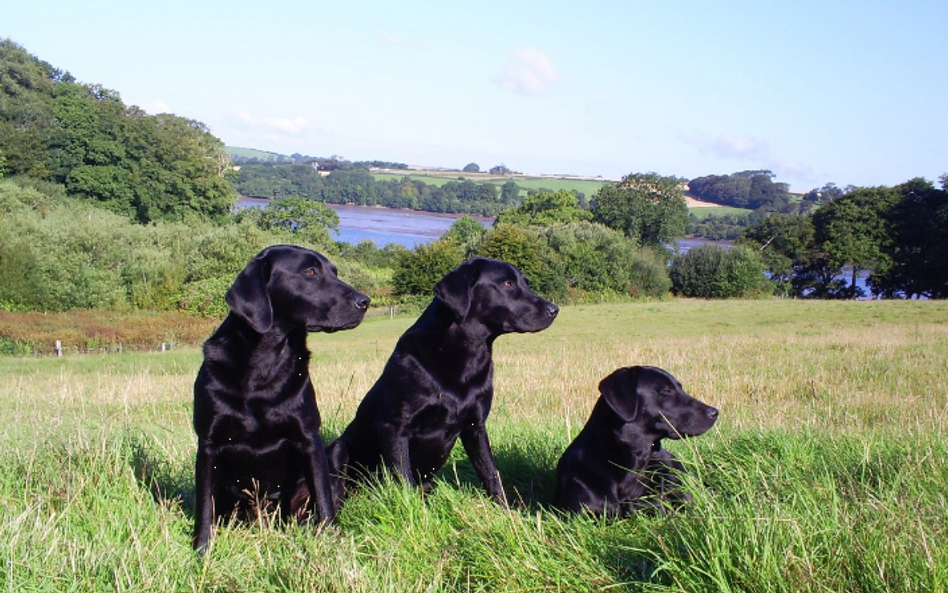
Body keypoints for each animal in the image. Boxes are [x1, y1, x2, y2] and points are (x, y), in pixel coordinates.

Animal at [193, 244, 370, 552]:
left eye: (334, 272)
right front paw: (201, 551)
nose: (365, 301)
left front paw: (330, 540)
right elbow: (204, 505)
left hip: (333, 457)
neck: (263, 365)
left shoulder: (309, 438)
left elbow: (323, 498)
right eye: (310, 272)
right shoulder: (208, 444)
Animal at [330, 256, 560, 502]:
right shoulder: (394, 427)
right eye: (507, 284)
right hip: (338, 448)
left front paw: (504, 508)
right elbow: (403, 479)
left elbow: (491, 473)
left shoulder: (475, 427)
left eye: (526, 283)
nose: (554, 309)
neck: (465, 352)